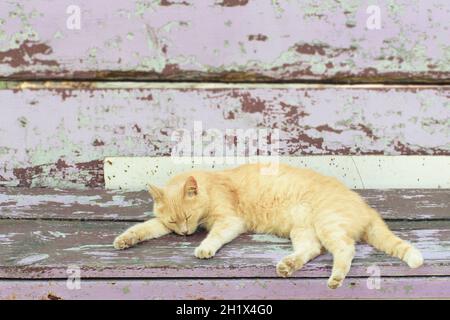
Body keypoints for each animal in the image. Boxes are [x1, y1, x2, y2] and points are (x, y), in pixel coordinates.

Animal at [114, 164, 424, 288]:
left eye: (188, 217)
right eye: (173, 221)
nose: (184, 233)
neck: (212, 186)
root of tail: (366, 207)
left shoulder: (230, 221)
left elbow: (214, 236)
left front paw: (204, 248)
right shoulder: (160, 225)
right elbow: (144, 228)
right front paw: (125, 239)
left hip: (328, 224)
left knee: (345, 250)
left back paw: (335, 279)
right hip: (303, 230)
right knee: (312, 250)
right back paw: (288, 265)